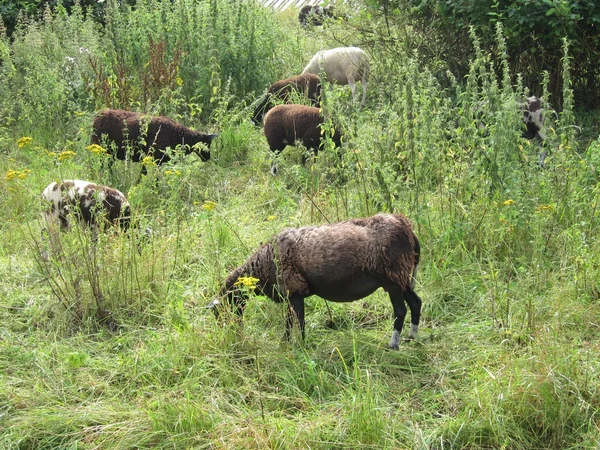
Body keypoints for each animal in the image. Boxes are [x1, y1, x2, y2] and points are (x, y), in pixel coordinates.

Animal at [210, 213, 422, 350]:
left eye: (220, 312)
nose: (231, 335)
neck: (263, 265)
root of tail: (408, 229)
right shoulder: (290, 294)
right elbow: (289, 321)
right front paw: (285, 343)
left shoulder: (295, 290)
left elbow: (299, 321)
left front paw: (302, 346)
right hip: (401, 278)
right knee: (416, 302)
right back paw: (412, 337)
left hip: (393, 277)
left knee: (400, 310)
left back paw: (393, 344)